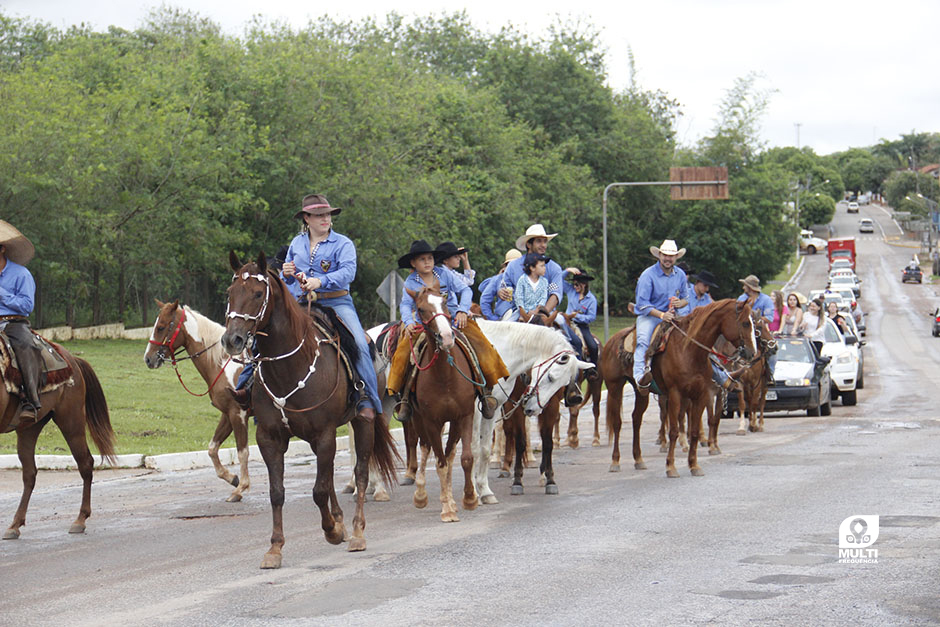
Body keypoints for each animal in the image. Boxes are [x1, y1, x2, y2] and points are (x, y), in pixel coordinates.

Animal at [0, 344, 115, 540]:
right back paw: (15, 525)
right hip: (29, 428)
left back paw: (80, 520)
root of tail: (72, 359)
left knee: (85, 463)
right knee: (30, 474)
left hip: (71, 422)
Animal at [144, 302, 253, 502]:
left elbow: (243, 452)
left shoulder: (238, 414)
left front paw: (240, 488)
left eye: (161, 327)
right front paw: (232, 478)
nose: (148, 358)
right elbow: (212, 449)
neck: (222, 363)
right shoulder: (227, 414)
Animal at [222, 251, 398, 568]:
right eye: (231, 293)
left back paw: (356, 532)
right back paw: (341, 521)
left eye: (257, 293)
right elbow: (278, 493)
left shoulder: (325, 434)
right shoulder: (269, 438)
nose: (232, 340)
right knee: (329, 476)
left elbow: (319, 490)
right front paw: (275, 548)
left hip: (362, 422)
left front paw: (332, 531)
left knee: (360, 473)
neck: (290, 366)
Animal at [404, 284, 478, 520]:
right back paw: (421, 494)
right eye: (420, 308)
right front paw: (447, 509)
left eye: (445, 302)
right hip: (419, 420)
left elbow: (465, 458)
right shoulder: (430, 422)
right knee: (426, 448)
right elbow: (440, 463)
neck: (445, 376)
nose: (446, 337)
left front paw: (469, 498)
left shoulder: (464, 416)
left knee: (451, 453)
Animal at [474, 322, 592, 508]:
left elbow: (547, 442)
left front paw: (550, 479)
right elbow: (519, 442)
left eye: (565, 382)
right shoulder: (509, 406)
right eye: (550, 377)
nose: (531, 409)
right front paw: (517, 482)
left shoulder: (549, 406)